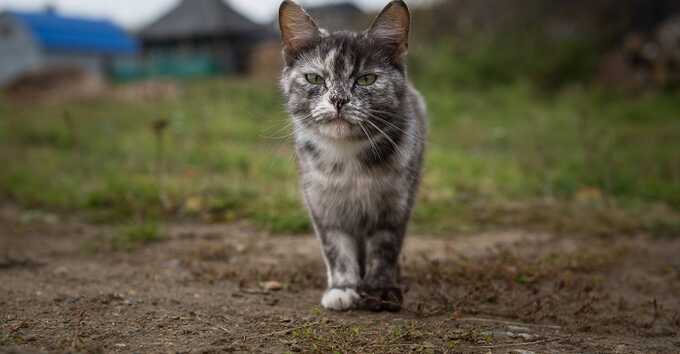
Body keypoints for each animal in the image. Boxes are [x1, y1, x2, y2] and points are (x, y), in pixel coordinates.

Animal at [276, 0, 424, 312]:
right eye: (314, 78)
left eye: (366, 79)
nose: (338, 99)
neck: (348, 160)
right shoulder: (322, 203)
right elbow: (335, 247)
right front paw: (343, 288)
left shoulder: (394, 203)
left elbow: (385, 247)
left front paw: (380, 291)